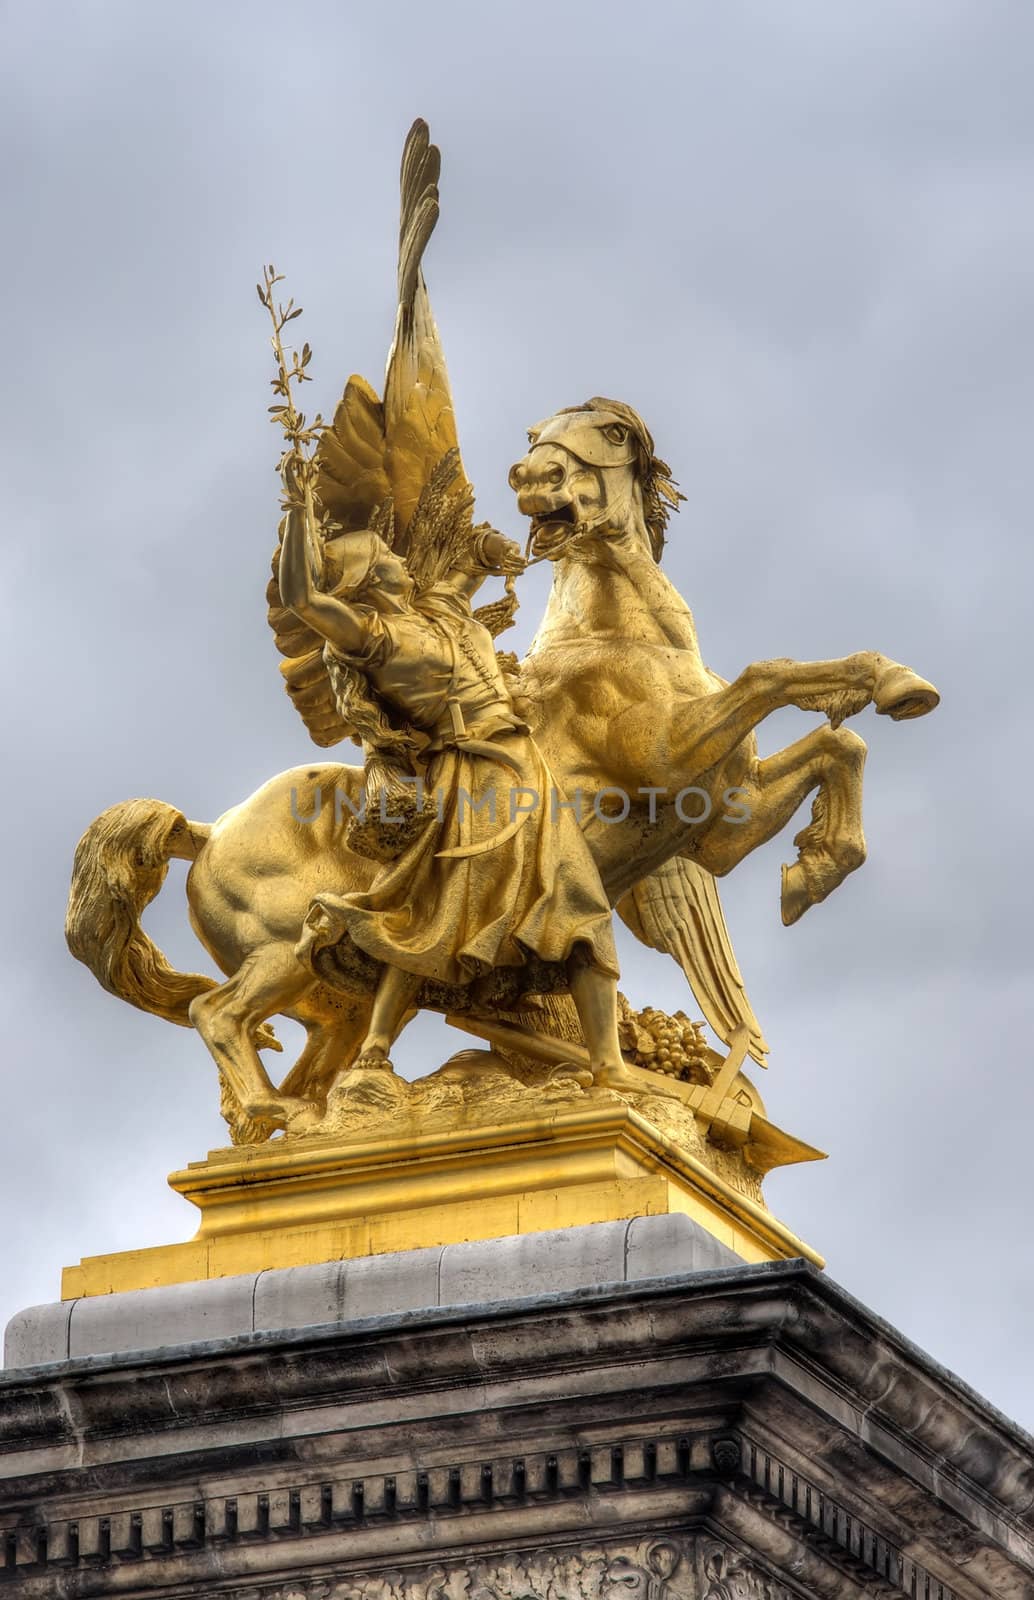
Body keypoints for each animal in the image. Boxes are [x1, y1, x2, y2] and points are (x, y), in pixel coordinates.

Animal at [62, 118, 941, 1145]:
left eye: (603, 432)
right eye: (538, 437)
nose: (527, 477)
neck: (628, 632)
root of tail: (206, 830)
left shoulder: (717, 821)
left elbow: (837, 751)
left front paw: (822, 853)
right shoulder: (675, 759)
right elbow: (773, 675)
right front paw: (880, 701)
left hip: (328, 986)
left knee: (320, 1037)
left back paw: (340, 1112)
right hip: (286, 951)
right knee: (217, 1011)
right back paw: (290, 1117)